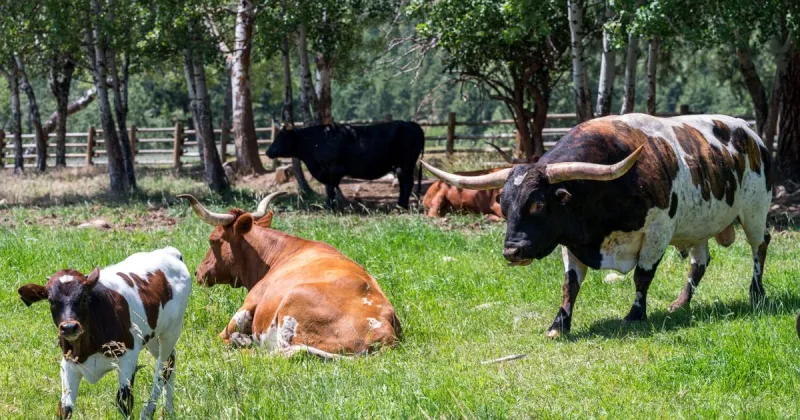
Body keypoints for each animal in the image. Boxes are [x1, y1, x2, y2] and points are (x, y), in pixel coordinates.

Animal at [17, 247, 192, 419]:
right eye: (51, 300)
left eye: (84, 297)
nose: (69, 327)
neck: (87, 346)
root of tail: (169, 252)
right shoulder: (68, 363)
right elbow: (64, 409)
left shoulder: (127, 358)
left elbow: (124, 403)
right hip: (152, 337)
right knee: (170, 361)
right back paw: (169, 410)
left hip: (171, 331)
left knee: (162, 368)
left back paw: (148, 411)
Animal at [178, 192, 401, 357]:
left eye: (213, 240)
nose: (197, 272)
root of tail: (385, 328)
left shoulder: (247, 306)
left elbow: (220, 337)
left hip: (291, 306)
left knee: (278, 352)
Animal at [265, 121, 425, 209]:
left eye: (282, 137)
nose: (268, 151)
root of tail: (411, 124)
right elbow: (331, 188)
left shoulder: (332, 168)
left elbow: (331, 189)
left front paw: (331, 207)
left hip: (405, 165)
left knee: (406, 184)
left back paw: (400, 206)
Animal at [422, 114, 772, 338]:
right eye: (504, 206)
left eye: (538, 205)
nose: (512, 251)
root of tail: (750, 132)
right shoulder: (572, 242)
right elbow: (570, 284)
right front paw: (558, 325)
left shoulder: (658, 231)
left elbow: (643, 276)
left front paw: (635, 315)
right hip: (698, 224)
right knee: (700, 261)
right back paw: (680, 303)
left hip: (754, 211)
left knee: (760, 245)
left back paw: (756, 293)